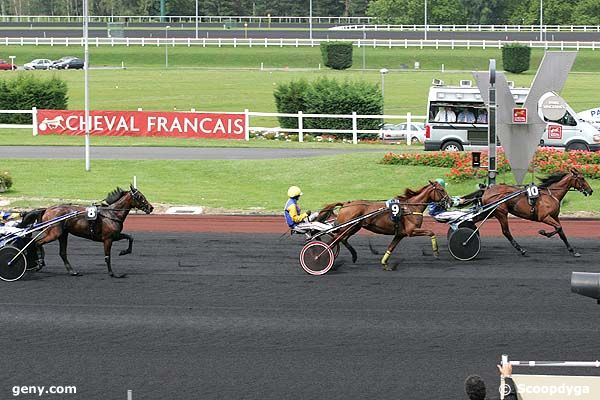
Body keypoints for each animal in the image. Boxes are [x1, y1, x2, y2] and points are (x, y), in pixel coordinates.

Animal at [20, 185, 154, 276]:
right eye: (140, 196)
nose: (151, 207)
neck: (111, 214)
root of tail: (47, 209)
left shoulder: (115, 236)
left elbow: (130, 237)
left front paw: (124, 251)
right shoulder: (108, 238)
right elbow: (107, 257)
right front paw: (113, 274)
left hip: (62, 234)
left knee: (62, 252)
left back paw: (72, 271)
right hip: (54, 233)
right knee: (37, 242)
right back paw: (40, 263)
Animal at [316, 182, 448, 272]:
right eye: (441, 190)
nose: (450, 201)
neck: (410, 207)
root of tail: (346, 204)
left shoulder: (400, 234)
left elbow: (391, 248)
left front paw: (385, 264)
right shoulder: (411, 231)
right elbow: (431, 232)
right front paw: (436, 252)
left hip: (353, 227)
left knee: (341, 239)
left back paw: (353, 256)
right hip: (347, 227)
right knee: (333, 241)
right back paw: (319, 257)